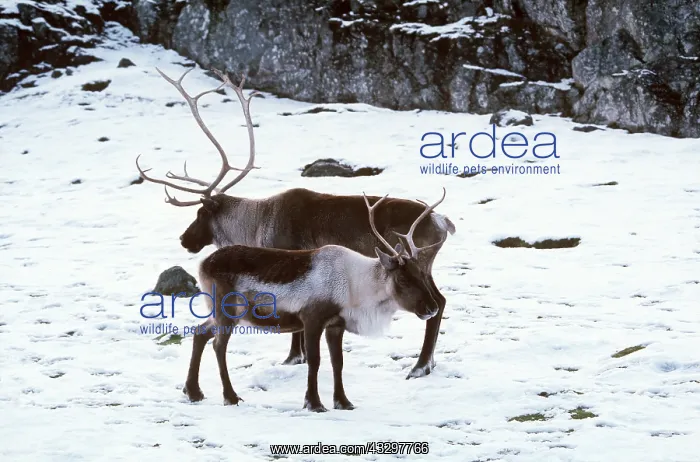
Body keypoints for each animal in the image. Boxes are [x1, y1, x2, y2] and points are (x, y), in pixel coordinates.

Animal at [136, 67, 456, 380]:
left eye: (201, 213)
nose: (184, 240)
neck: (256, 224)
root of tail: (442, 221)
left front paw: (293, 356)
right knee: (440, 301)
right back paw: (428, 362)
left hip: (420, 263)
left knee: (438, 302)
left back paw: (420, 365)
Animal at [187, 189, 449, 411]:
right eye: (403, 279)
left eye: (420, 273)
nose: (430, 308)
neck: (356, 285)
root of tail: (203, 264)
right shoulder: (312, 319)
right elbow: (314, 360)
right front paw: (314, 403)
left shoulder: (335, 324)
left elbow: (337, 362)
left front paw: (343, 402)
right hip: (227, 311)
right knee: (218, 345)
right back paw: (230, 396)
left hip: (219, 313)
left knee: (200, 332)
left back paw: (193, 392)